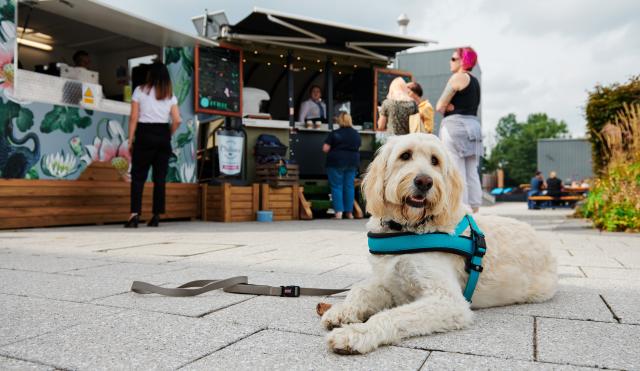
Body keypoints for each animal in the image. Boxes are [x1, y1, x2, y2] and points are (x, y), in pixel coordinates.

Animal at [322, 134, 556, 354]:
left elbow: (391, 315)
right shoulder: (388, 282)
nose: (424, 182)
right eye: (405, 155)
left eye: (435, 160)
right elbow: (360, 289)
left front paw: (356, 334)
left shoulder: (448, 301)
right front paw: (342, 310)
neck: (407, 228)